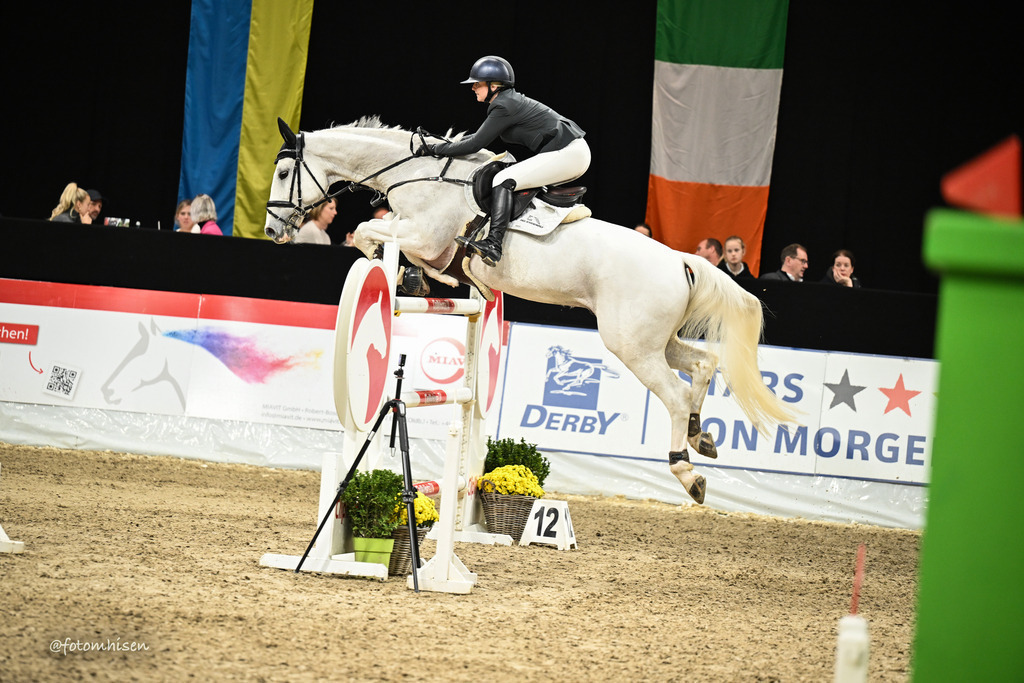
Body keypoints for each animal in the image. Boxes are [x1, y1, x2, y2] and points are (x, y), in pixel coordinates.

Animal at [264, 117, 799, 504]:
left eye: (285, 173)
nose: (271, 232)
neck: (417, 177)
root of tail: (680, 260)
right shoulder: (426, 243)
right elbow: (382, 241)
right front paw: (416, 278)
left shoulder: (424, 237)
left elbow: (367, 234)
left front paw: (398, 271)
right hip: (653, 340)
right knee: (703, 365)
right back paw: (701, 437)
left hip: (631, 345)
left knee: (674, 394)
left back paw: (687, 471)